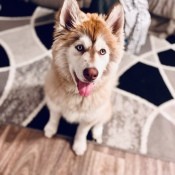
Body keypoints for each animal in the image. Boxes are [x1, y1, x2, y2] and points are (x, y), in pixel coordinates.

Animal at [44, 0, 123, 155]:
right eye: (79, 47)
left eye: (102, 51)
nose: (91, 74)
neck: (77, 96)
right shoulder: (53, 101)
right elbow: (54, 116)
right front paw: (50, 128)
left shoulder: (89, 117)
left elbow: (82, 131)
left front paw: (79, 145)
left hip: (105, 109)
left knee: (100, 121)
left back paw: (97, 133)